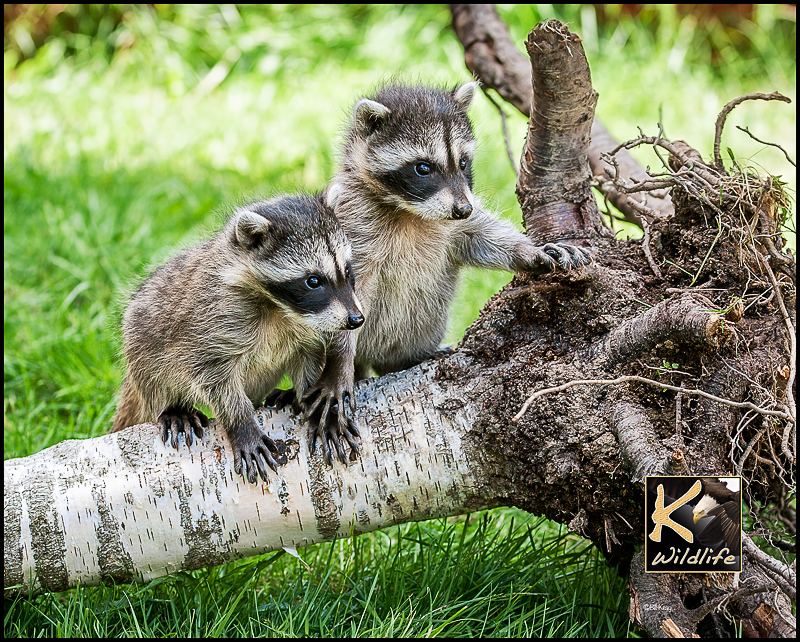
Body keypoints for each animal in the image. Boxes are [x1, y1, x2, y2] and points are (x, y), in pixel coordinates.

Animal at [111, 193, 364, 483]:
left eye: (347, 270)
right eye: (313, 281)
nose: (356, 320)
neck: (278, 305)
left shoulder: (308, 326)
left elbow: (308, 359)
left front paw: (312, 398)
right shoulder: (214, 319)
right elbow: (213, 375)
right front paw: (241, 424)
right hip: (141, 338)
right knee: (151, 370)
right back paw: (172, 407)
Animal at [270, 82, 591, 464]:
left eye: (463, 162)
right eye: (423, 167)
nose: (463, 208)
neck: (411, 210)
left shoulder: (455, 223)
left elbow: (482, 236)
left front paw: (531, 250)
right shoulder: (349, 231)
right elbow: (344, 300)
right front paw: (338, 363)